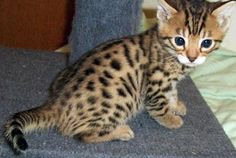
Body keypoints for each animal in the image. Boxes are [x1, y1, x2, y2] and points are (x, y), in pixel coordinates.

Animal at [3, 0, 236, 154]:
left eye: (206, 42)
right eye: (180, 40)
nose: (192, 57)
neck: (168, 52)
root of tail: (56, 103)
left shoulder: (168, 83)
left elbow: (172, 92)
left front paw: (176, 105)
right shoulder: (155, 83)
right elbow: (159, 105)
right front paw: (170, 119)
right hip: (120, 98)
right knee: (78, 133)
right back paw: (121, 131)